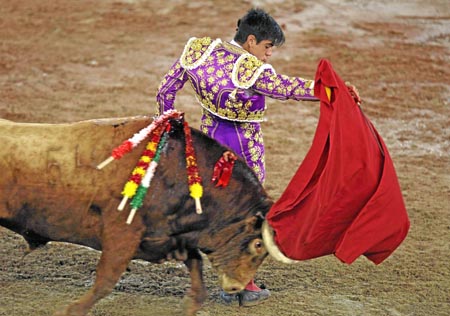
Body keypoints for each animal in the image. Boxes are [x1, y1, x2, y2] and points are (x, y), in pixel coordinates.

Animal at [0, 116, 288, 316]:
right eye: (258, 244)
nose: (237, 286)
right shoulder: (121, 235)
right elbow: (105, 281)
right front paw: (70, 310)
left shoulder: (170, 238)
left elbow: (196, 266)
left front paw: (190, 306)